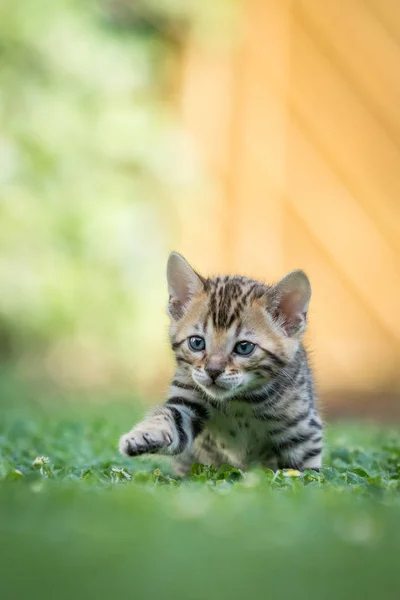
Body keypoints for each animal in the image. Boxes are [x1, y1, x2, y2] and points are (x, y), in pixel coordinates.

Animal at [118, 252, 322, 474]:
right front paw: (142, 436)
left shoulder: (302, 428)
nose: (213, 371)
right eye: (197, 343)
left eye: (244, 347)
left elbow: (306, 469)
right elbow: (168, 417)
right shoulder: (187, 397)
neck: (238, 401)